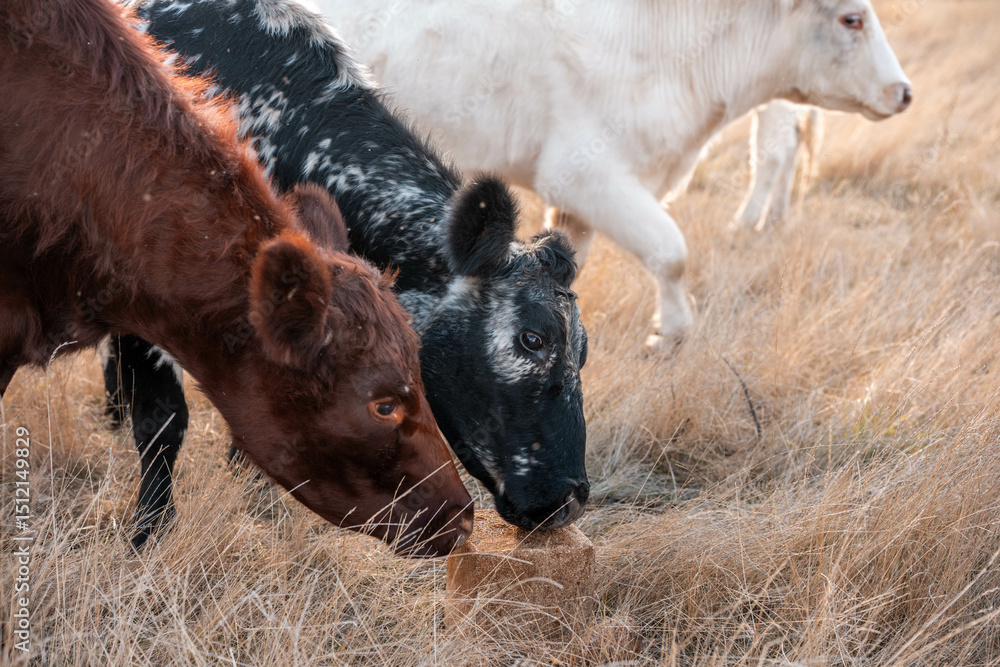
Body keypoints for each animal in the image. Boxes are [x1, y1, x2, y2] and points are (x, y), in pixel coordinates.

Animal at [315, 0, 912, 349]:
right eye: (851, 18)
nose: (904, 91)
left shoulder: (578, 204)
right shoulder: (589, 176)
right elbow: (671, 252)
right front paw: (670, 333)